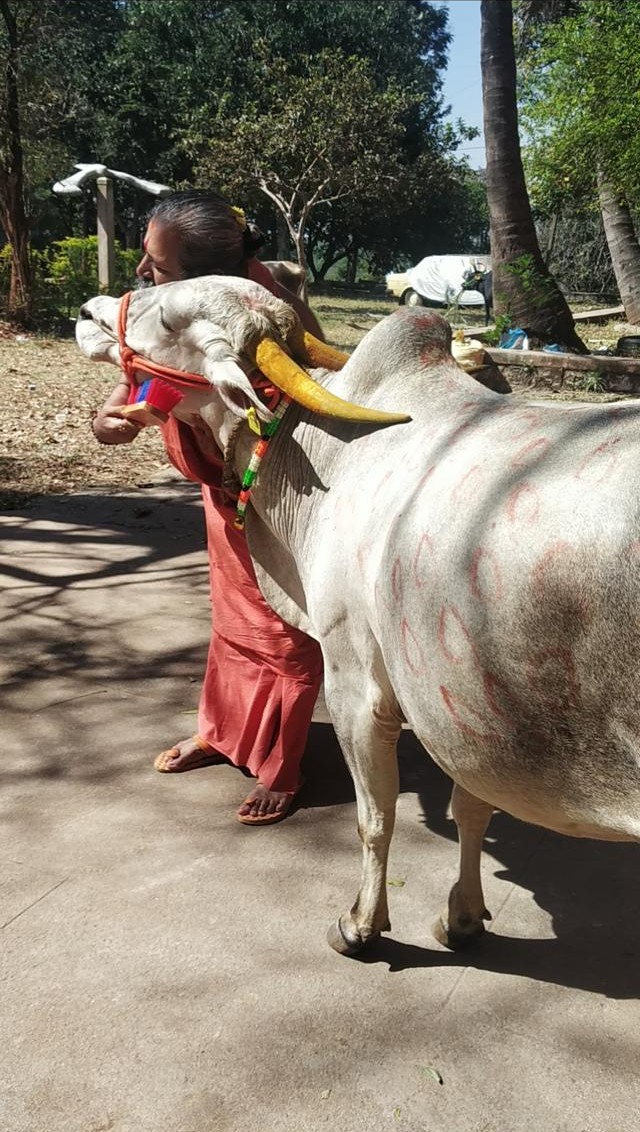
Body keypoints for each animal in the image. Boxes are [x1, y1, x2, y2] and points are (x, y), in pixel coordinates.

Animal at [77, 276, 640, 958]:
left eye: (168, 318)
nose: (87, 312)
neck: (321, 455)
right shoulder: (465, 706)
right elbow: (470, 809)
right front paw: (462, 916)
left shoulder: (355, 685)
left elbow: (375, 816)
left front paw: (362, 923)